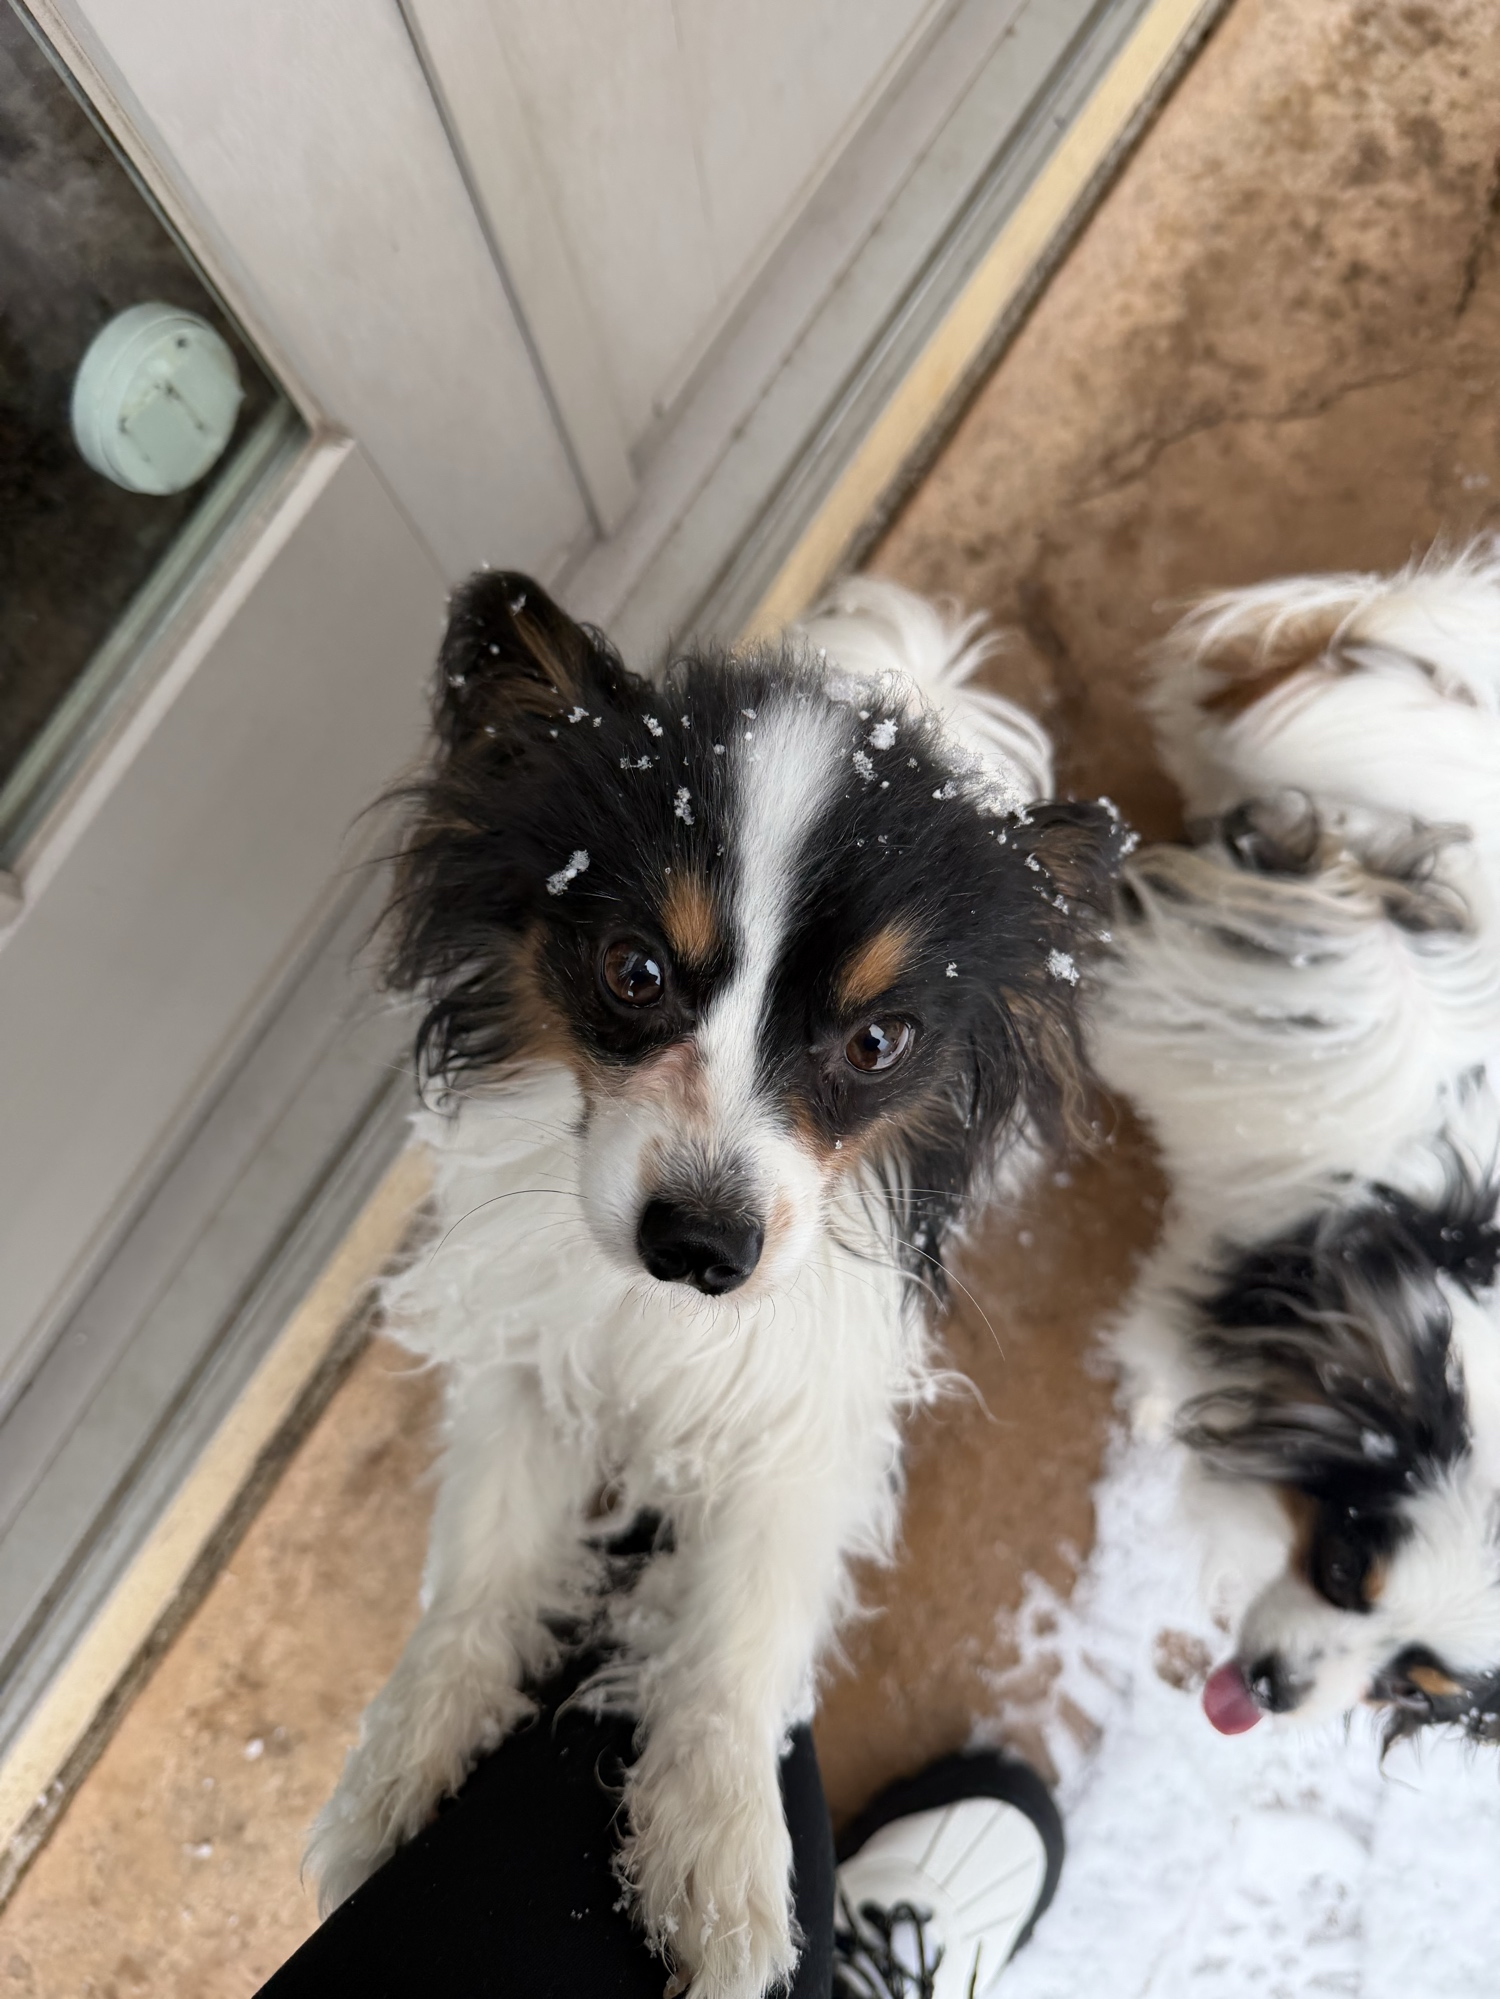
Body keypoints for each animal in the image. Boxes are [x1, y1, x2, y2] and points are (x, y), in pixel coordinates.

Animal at [306, 571, 1121, 1996]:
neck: (663, 1317)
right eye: (633, 971)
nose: (699, 1245)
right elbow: (483, 1566)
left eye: (878, 1041)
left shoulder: (812, 1411)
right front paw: (406, 1769)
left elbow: (743, 1626)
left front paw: (725, 1854)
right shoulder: (529, 1351)